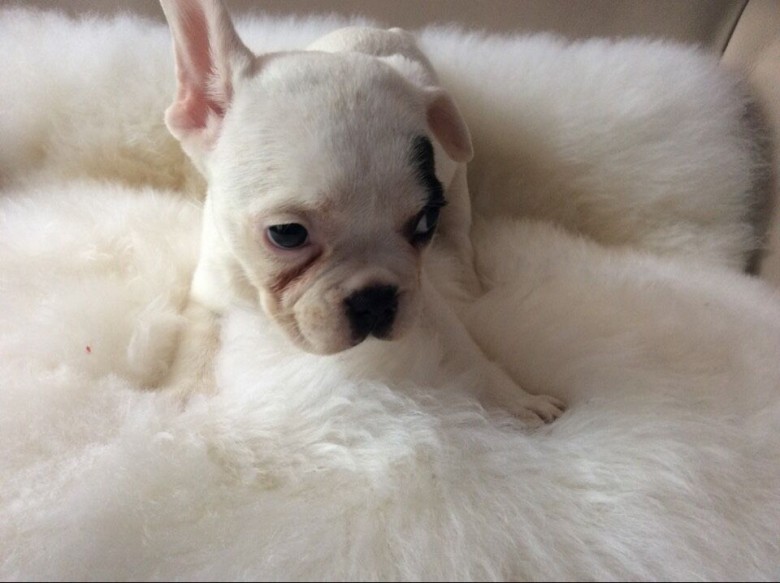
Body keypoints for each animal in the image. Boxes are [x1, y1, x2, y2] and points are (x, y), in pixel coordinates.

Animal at [159, 0, 565, 425]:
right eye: (287, 233)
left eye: (425, 223)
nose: (375, 297)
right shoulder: (211, 289)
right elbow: (198, 340)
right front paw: (184, 395)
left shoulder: (423, 299)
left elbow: (463, 347)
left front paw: (515, 398)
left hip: (458, 177)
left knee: (461, 233)